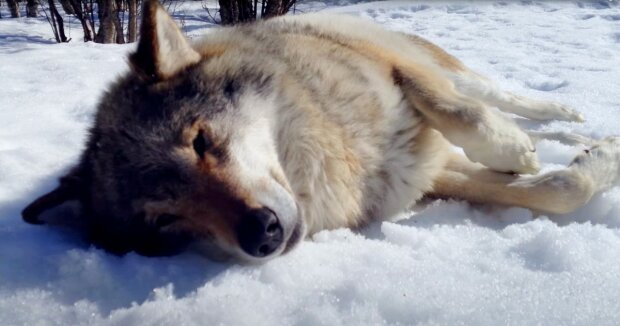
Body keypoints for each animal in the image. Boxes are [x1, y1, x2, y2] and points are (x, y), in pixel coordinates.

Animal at [21, 0, 620, 262]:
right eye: (165, 220)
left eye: (200, 141)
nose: (259, 234)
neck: (336, 156)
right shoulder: (429, 174)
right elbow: (559, 189)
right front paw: (595, 163)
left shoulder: (399, 76)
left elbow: (462, 115)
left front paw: (518, 151)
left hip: (442, 65)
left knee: (500, 98)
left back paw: (562, 118)